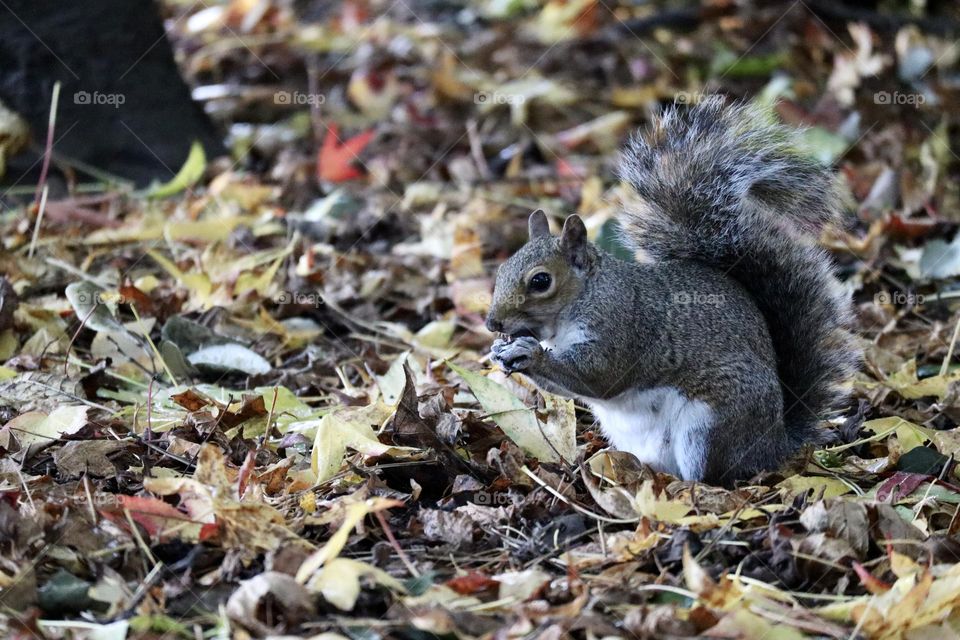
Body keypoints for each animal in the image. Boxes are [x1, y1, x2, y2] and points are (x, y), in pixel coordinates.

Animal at [485, 97, 858, 486]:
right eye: (501, 270)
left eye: (540, 281)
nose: (492, 323)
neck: (585, 298)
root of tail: (773, 445)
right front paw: (501, 351)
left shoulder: (622, 328)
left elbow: (599, 378)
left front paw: (530, 353)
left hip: (709, 425)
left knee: (712, 476)